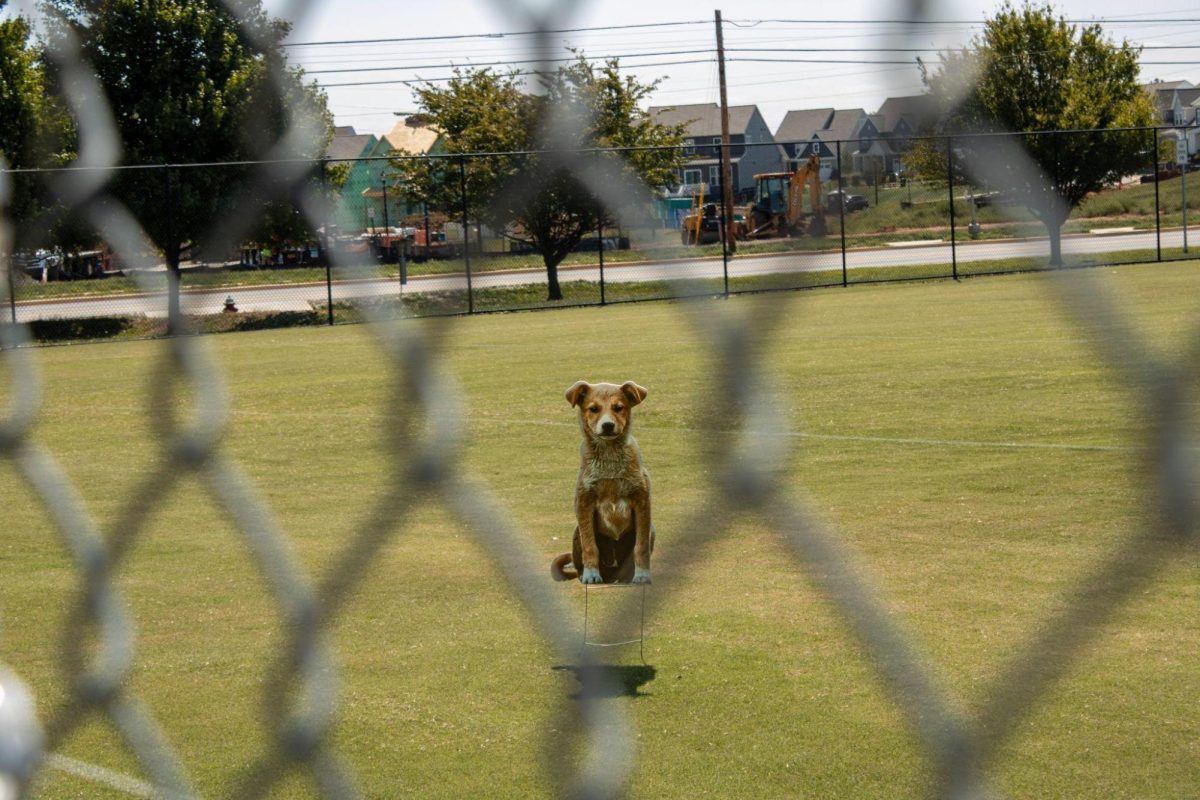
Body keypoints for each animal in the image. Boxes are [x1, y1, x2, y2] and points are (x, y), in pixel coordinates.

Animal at [552, 379, 657, 585]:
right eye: (593, 409)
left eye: (619, 407)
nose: (607, 425)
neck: (609, 458)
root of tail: (612, 576)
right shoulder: (584, 503)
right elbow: (590, 545)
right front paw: (591, 574)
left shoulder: (642, 502)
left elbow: (640, 547)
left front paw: (642, 575)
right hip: (576, 532)